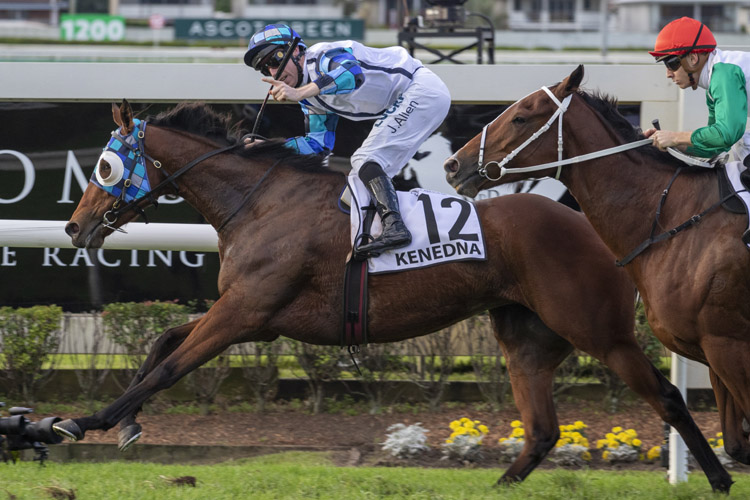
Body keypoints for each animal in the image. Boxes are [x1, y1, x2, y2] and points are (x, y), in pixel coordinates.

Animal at [57, 99, 736, 490]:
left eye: (106, 166)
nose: (74, 225)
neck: (261, 202)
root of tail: (595, 225)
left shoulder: (246, 310)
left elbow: (168, 365)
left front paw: (80, 421)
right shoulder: (251, 313)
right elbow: (162, 342)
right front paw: (126, 425)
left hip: (598, 330)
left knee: (668, 398)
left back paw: (719, 478)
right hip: (527, 333)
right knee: (543, 429)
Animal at [446, 64, 748, 490]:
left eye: (521, 116)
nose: (454, 165)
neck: (673, 216)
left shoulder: (729, 345)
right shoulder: (712, 346)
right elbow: (737, 442)